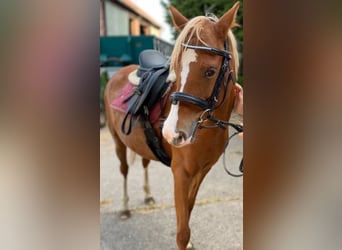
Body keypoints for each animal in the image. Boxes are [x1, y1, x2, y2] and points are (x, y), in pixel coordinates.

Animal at [104, 2, 240, 250]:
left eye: (210, 71)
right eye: (174, 70)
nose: (171, 133)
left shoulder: (201, 171)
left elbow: (189, 211)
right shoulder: (180, 173)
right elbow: (182, 232)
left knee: (144, 162)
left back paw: (148, 196)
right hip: (117, 140)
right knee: (124, 170)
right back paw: (125, 207)